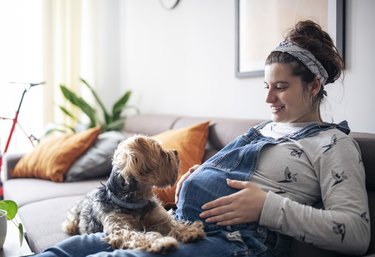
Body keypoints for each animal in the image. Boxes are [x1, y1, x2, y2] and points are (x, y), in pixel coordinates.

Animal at [64, 135, 206, 251]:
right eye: (161, 152)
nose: (176, 152)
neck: (135, 201)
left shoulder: (158, 217)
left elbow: (173, 223)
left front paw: (189, 231)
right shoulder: (120, 229)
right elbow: (139, 235)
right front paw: (162, 242)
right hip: (72, 219)